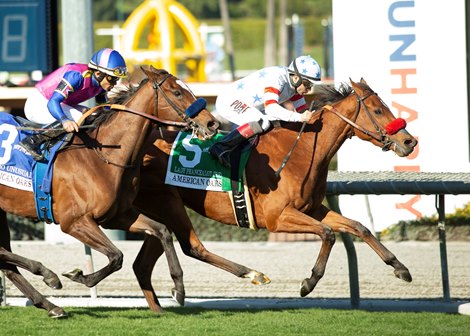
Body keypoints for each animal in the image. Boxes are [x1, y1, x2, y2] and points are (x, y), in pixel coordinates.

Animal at [0, 66, 220, 318]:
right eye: (177, 92)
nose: (212, 123)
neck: (102, 155)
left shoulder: (117, 216)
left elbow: (162, 231)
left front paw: (179, 287)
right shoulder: (73, 221)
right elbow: (117, 256)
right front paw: (80, 276)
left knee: (6, 262)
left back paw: (51, 304)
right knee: (2, 254)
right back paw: (49, 276)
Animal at [131, 78, 418, 310]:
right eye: (378, 110)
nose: (409, 141)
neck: (303, 149)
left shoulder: (313, 209)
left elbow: (359, 227)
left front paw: (400, 268)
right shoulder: (277, 217)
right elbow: (328, 234)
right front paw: (309, 282)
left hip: (157, 208)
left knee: (145, 261)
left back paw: (159, 307)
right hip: (167, 202)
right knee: (191, 246)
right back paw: (248, 275)